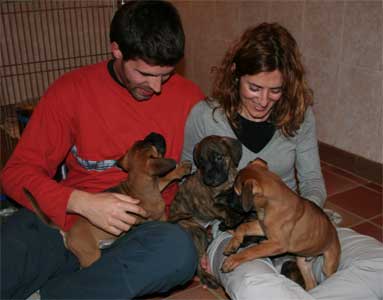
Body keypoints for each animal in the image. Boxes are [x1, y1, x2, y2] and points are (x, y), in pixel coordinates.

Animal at [24, 132, 192, 268]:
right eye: (152, 145)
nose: (153, 134)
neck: (138, 186)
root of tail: (66, 233)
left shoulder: (157, 185)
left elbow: (166, 177)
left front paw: (181, 169)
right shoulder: (157, 216)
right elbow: (167, 217)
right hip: (90, 255)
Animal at [170, 135, 244, 288]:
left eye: (218, 157)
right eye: (201, 162)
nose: (209, 179)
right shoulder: (208, 204)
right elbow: (222, 207)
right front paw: (233, 217)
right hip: (197, 232)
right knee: (197, 264)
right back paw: (207, 278)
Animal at [222, 158, 342, 290]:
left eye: (236, 192)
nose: (226, 200)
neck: (271, 205)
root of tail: (333, 231)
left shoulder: (278, 244)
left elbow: (252, 250)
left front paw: (232, 260)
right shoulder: (262, 228)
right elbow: (243, 226)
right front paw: (232, 244)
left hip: (329, 264)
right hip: (302, 262)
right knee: (311, 284)